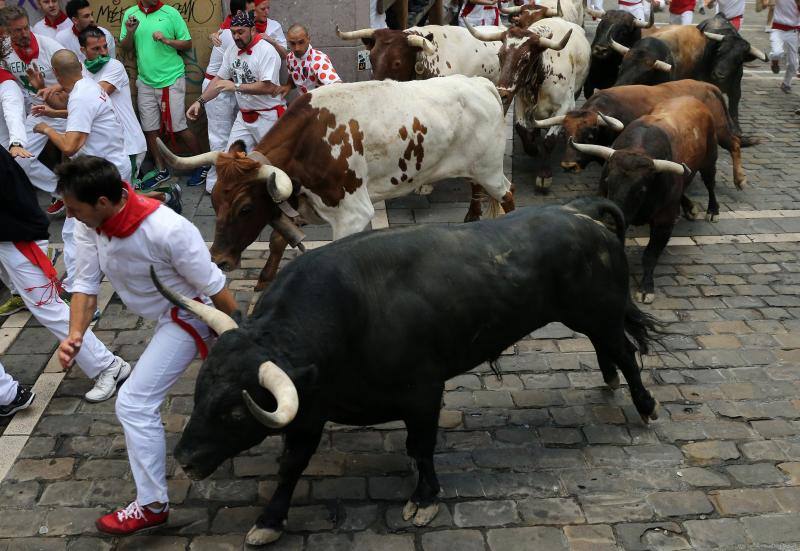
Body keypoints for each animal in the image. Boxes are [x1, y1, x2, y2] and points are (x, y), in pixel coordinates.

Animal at [155, 201, 656, 544]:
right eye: (199, 392)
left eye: (236, 412)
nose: (185, 460)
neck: (348, 316)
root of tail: (582, 213)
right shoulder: (310, 409)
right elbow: (291, 465)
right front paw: (269, 520)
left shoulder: (424, 392)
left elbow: (422, 445)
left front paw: (425, 497)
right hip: (591, 318)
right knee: (609, 349)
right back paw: (610, 380)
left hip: (600, 312)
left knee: (626, 352)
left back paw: (645, 406)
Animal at [159, 77, 516, 294]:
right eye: (214, 201)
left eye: (245, 208)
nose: (218, 259)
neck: (309, 141)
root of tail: (479, 82)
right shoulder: (304, 200)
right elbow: (277, 238)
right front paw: (264, 279)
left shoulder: (352, 213)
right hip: (474, 168)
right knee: (478, 189)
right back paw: (471, 220)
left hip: (489, 168)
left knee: (507, 193)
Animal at [466, 16, 592, 192]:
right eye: (500, 55)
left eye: (525, 59)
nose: (502, 93)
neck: (543, 73)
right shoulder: (520, 99)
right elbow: (521, 127)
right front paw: (532, 148)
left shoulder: (565, 107)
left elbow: (549, 140)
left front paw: (544, 175)